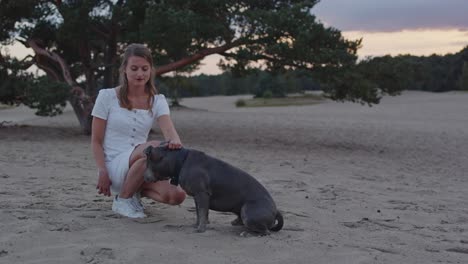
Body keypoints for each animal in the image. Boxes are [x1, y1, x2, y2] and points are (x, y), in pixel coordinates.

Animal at [142, 144, 282, 235]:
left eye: (148, 161)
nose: (144, 177)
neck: (181, 161)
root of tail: (275, 210)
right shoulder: (197, 197)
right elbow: (199, 213)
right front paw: (197, 225)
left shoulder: (202, 195)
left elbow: (202, 212)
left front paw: (201, 229)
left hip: (248, 211)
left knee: (265, 231)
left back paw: (247, 233)